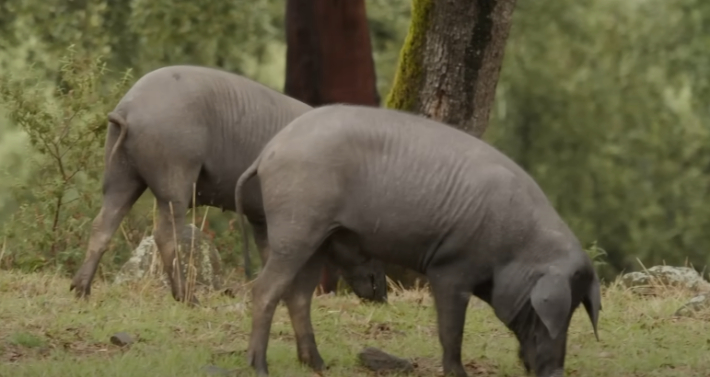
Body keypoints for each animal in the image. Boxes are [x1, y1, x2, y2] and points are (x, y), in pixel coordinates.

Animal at [69, 66, 386, 304]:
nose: (382, 295)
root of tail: (128, 109)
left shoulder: (260, 215)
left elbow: (267, 250)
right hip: (175, 176)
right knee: (165, 235)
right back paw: (188, 298)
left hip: (120, 176)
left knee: (102, 225)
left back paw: (81, 291)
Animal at [238, 103, 600, 376]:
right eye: (547, 311)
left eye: (574, 311)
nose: (556, 372)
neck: (515, 249)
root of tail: (268, 152)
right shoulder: (450, 268)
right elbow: (451, 330)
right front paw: (459, 374)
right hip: (296, 228)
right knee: (265, 289)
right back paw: (260, 367)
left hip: (320, 239)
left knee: (299, 295)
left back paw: (319, 365)